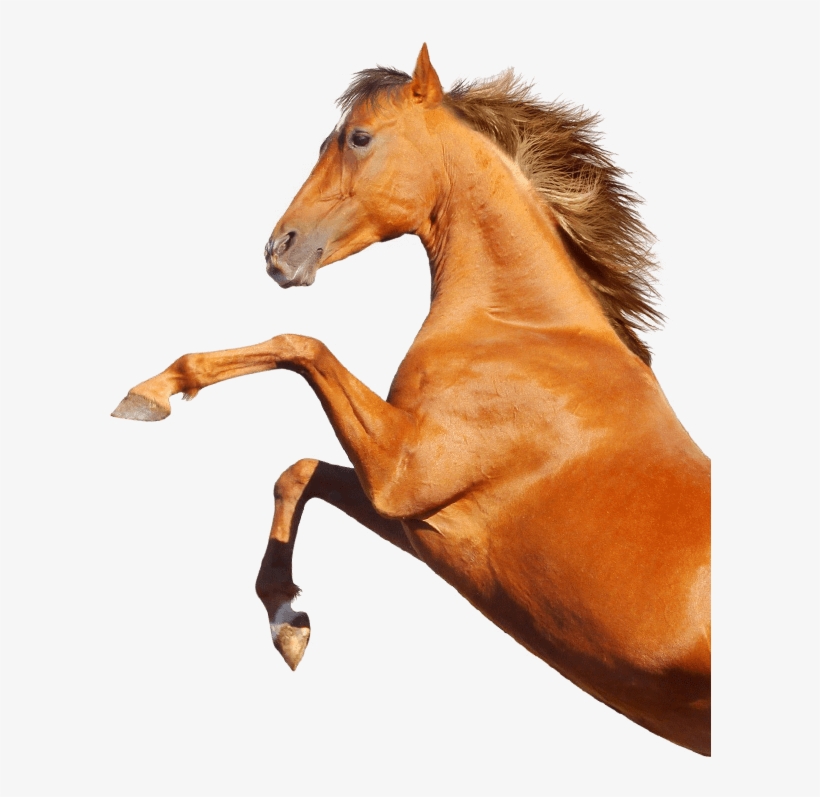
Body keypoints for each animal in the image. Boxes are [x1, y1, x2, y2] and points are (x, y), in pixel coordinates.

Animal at [112, 45, 711, 756]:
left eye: (357, 138)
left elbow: (300, 346)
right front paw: (289, 621)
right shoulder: (411, 515)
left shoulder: (405, 472)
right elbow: (299, 473)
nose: (278, 250)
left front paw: (151, 392)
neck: (521, 330)